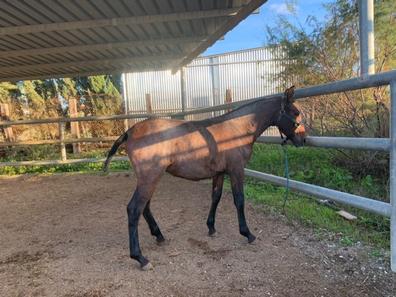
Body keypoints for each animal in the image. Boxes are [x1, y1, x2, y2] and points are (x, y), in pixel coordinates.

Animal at [103, 85, 304, 268]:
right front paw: (247, 233)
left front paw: (211, 228)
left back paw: (159, 235)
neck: (236, 128)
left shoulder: (219, 173)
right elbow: (239, 200)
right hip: (150, 178)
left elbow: (215, 197)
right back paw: (140, 258)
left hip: (150, 179)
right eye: (295, 112)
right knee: (134, 209)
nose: (303, 140)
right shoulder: (236, 170)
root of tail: (130, 132)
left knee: (145, 207)